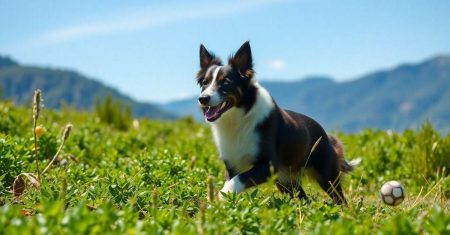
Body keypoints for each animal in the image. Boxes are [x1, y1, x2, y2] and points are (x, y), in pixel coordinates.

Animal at [197, 41, 358, 203]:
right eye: (205, 82)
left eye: (225, 82)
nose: (203, 99)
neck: (238, 117)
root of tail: (327, 135)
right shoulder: (232, 164)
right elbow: (232, 179)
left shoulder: (269, 166)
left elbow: (236, 181)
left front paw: (220, 197)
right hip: (287, 182)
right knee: (303, 199)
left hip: (327, 176)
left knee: (340, 199)